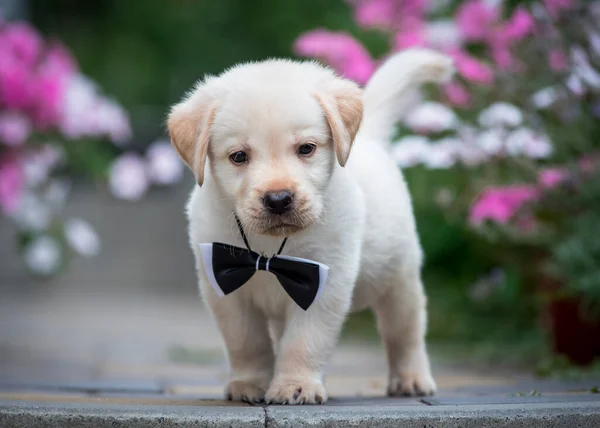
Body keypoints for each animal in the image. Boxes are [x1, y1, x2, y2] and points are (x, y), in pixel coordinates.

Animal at [166, 48, 452, 402]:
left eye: (306, 149)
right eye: (238, 156)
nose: (278, 199)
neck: (267, 250)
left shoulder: (322, 281)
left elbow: (303, 342)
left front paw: (295, 385)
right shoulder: (224, 288)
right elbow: (247, 343)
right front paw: (249, 383)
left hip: (399, 278)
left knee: (405, 332)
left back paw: (411, 378)